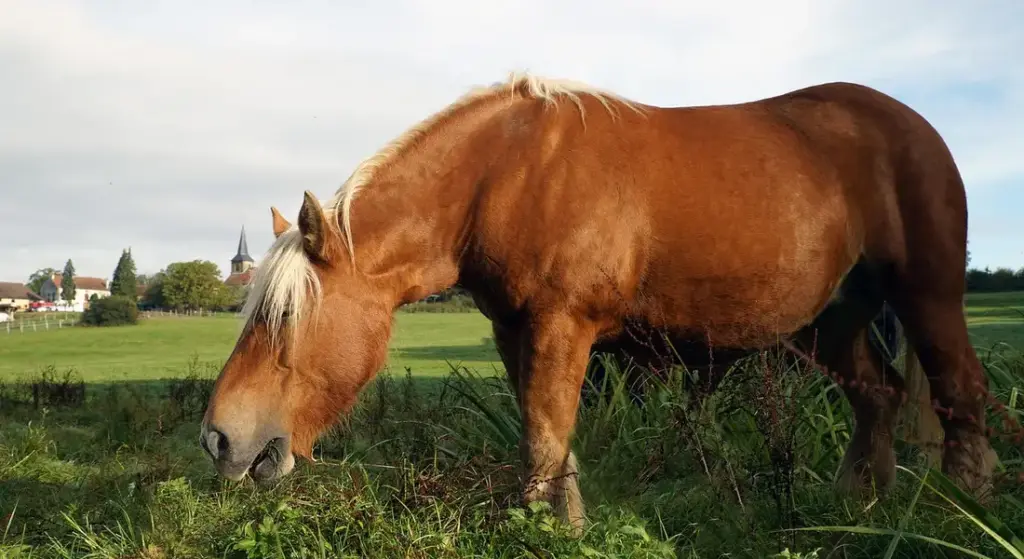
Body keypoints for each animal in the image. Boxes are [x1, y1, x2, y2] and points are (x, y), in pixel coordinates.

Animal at [200, 72, 997, 532]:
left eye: (284, 318)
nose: (218, 440)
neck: (507, 173)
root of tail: (912, 124)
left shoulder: (564, 324)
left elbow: (549, 432)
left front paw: (555, 530)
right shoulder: (516, 331)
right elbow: (539, 434)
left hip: (927, 294)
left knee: (959, 392)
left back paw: (962, 515)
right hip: (831, 323)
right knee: (879, 396)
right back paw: (859, 505)